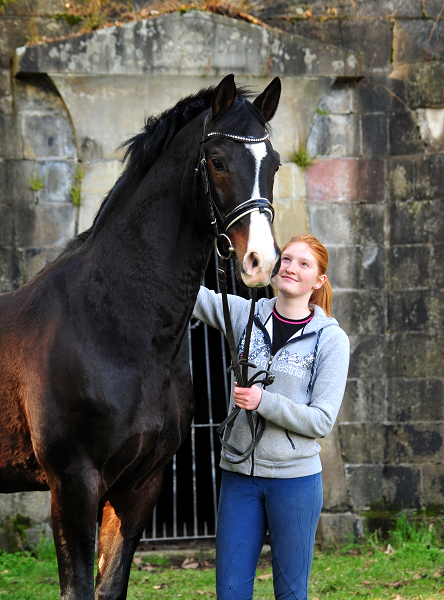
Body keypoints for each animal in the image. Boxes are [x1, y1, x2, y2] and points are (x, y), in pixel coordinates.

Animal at [0, 75, 280, 600]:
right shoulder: (73, 484)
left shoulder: (138, 487)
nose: (262, 262)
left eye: (272, 161)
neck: (112, 323)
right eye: (217, 160)